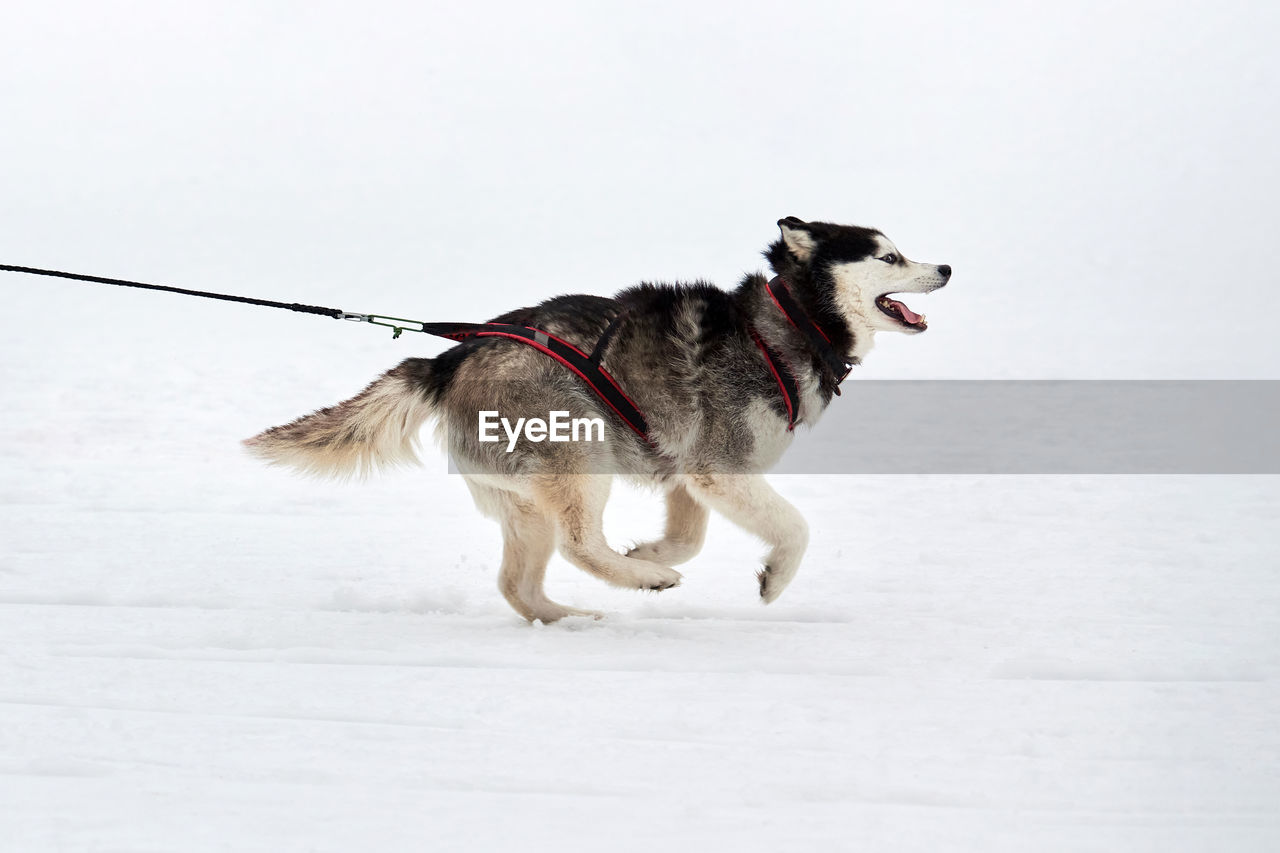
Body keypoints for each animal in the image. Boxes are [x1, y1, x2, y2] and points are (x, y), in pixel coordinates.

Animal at [244, 216, 947, 622]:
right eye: (887, 257)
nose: (945, 266)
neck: (787, 327)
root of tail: (452, 358)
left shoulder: (688, 471)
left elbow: (690, 535)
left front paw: (653, 548)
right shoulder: (720, 467)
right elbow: (795, 528)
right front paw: (770, 580)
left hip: (527, 500)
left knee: (516, 584)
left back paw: (577, 615)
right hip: (581, 461)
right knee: (579, 544)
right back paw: (646, 581)